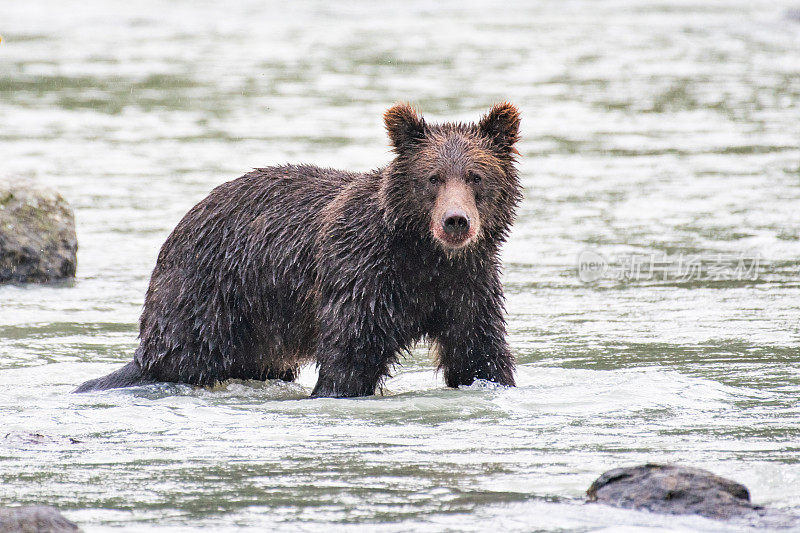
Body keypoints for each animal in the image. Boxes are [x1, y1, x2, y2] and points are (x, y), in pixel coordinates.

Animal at [75, 103, 520, 394]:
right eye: (432, 178)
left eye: (476, 176)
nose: (456, 221)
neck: (424, 255)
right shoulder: (362, 276)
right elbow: (349, 359)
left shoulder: (466, 286)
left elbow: (479, 354)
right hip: (209, 294)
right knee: (183, 358)